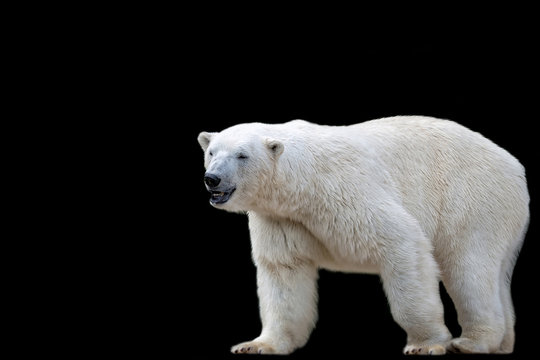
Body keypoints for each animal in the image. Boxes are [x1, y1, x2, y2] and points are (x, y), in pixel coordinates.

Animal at [197, 116, 528, 354]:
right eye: (211, 152)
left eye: (242, 155)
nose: (212, 179)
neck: (302, 186)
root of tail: (515, 167)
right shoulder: (282, 219)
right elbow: (284, 271)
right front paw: (257, 345)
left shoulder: (345, 191)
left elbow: (402, 241)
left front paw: (426, 343)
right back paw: (503, 344)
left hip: (472, 199)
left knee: (468, 268)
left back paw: (472, 342)